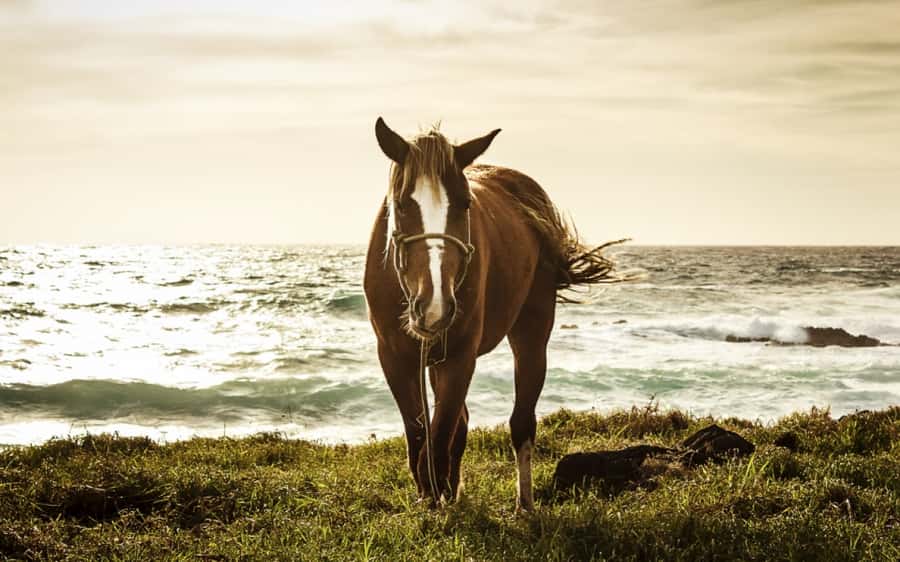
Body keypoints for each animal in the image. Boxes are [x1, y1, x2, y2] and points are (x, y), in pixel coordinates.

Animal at [364, 117, 621, 511]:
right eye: (403, 204)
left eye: (465, 203)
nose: (434, 306)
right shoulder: (394, 358)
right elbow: (420, 436)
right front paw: (431, 496)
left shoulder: (460, 357)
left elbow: (438, 442)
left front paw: (437, 498)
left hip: (532, 333)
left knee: (521, 422)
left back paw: (524, 505)